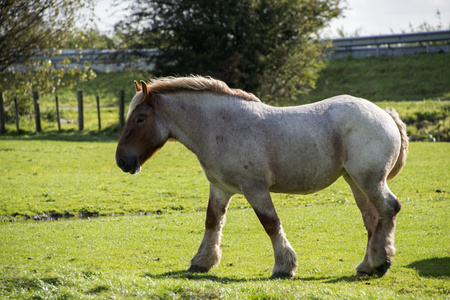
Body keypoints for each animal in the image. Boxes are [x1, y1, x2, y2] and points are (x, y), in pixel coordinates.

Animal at [115, 76, 408, 278]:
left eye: (140, 119)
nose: (121, 160)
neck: (221, 127)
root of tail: (385, 115)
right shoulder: (220, 188)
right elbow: (212, 222)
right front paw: (202, 261)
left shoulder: (254, 188)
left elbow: (270, 223)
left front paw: (285, 267)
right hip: (355, 181)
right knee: (372, 218)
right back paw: (368, 265)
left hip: (369, 180)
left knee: (389, 209)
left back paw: (381, 263)